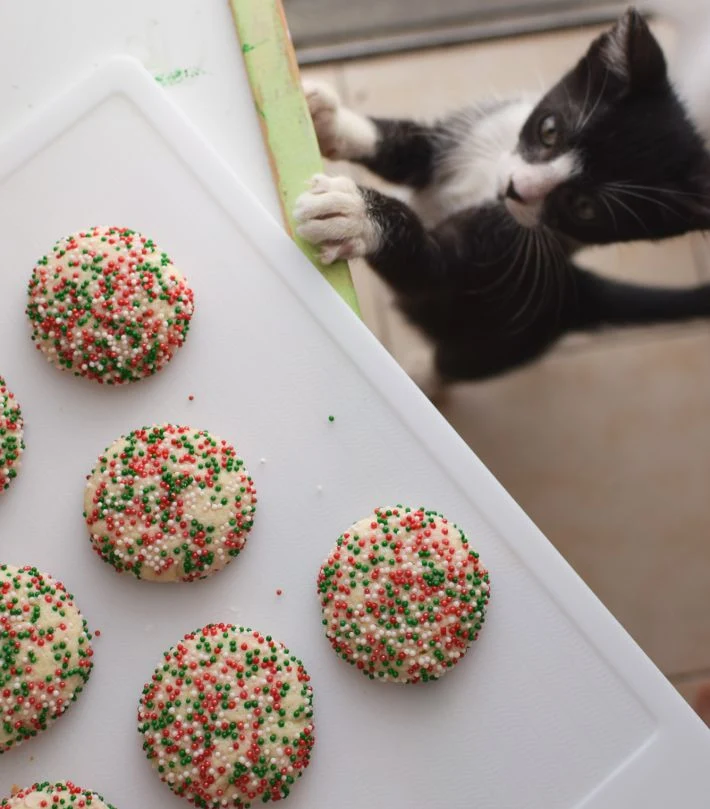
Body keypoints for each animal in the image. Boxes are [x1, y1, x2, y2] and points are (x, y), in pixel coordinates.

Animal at [296, 9, 710, 392]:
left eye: (584, 208)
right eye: (549, 130)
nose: (515, 188)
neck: (486, 184)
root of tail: (575, 293)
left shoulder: (491, 257)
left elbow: (430, 264)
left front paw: (353, 214)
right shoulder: (466, 136)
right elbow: (407, 149)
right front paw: (327, 117)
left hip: (491, 348)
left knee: (452, 365)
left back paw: (421, 376)